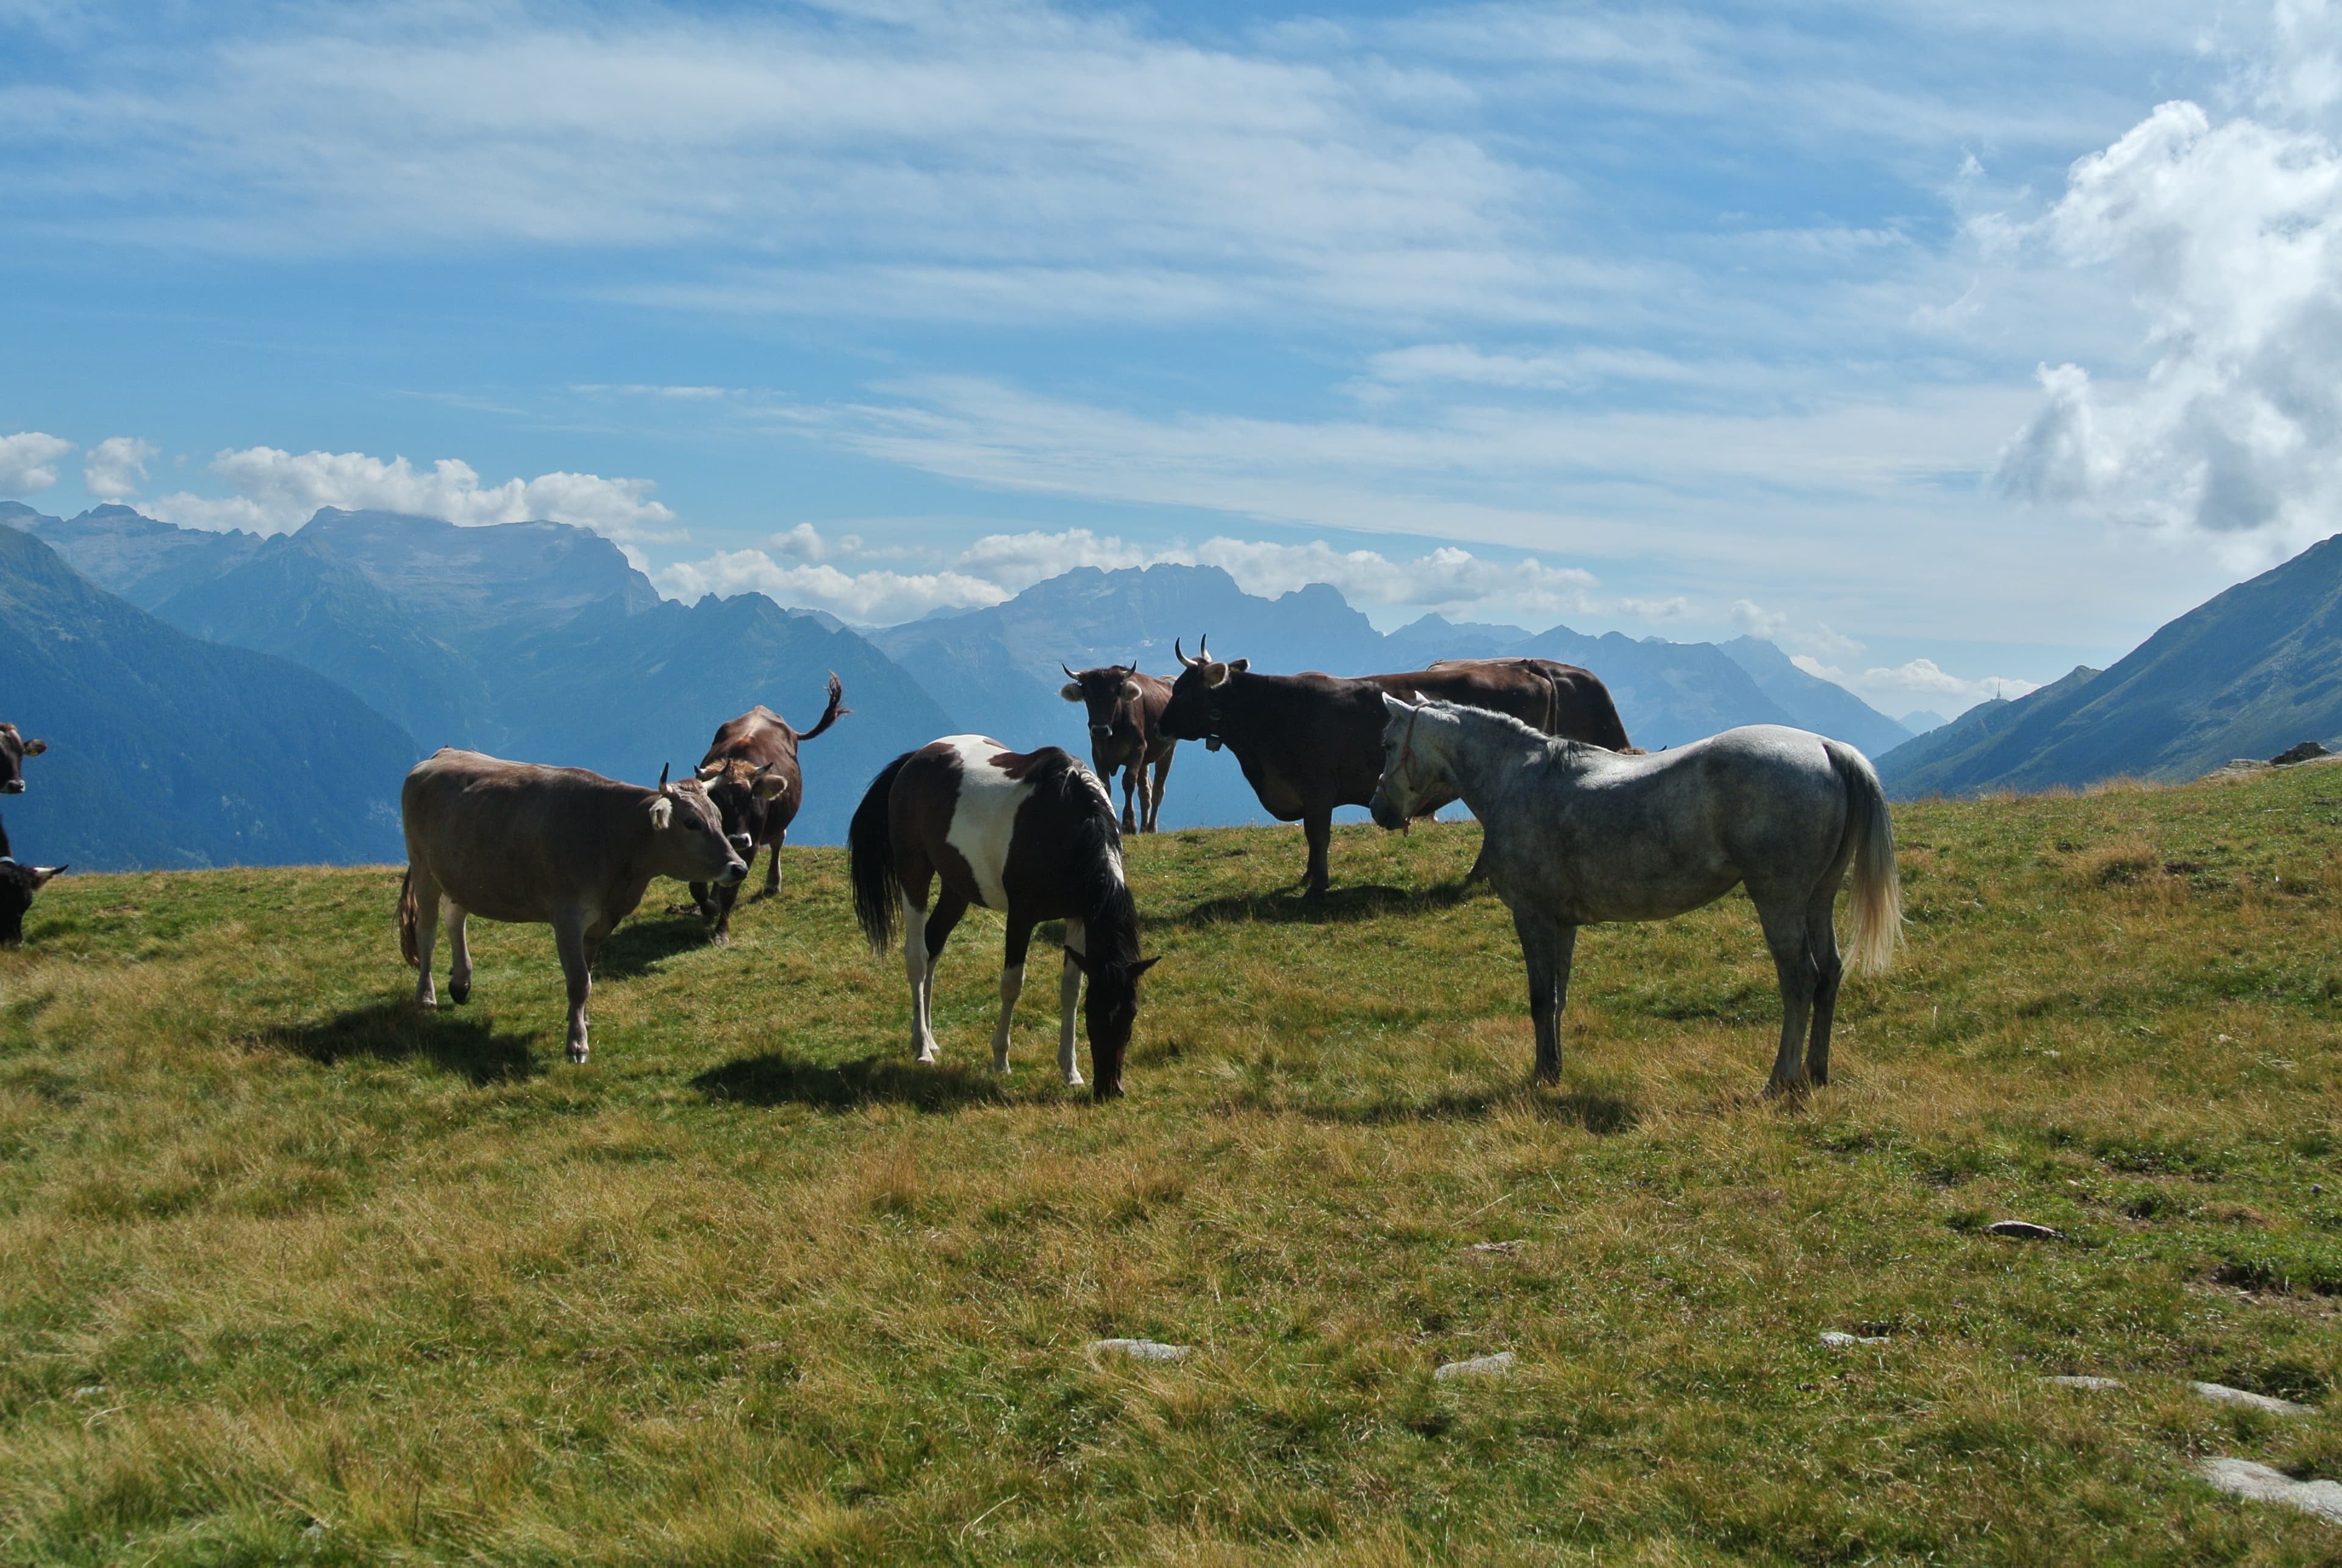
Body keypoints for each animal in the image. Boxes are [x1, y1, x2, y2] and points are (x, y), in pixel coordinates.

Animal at [848, 737, 1159, 1099]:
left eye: (1131, 1015)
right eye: (1094, 1015)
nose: (1110, 1089)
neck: (1067, 824)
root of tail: (916, 758)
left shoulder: (1078, 918)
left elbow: (1070, 989)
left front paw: (1070, 1071)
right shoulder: (1021, 918)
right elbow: (1012, 985)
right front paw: (1000, 1060)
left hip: (957, 889)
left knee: (934, 944)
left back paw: (930, 1037)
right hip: (914, 873)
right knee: (918, 957)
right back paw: (922, 1046)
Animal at [1368, 698, 1900, 1093]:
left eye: (1389, 744)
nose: (1378, 810)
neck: (1519, 779)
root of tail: (1826, 748)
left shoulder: (1532, 915)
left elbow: (1539, 998)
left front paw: (1539, 1075)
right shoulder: (1562, 922)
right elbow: (1558, 998)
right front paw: (1554, 1069)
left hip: (1779, 900)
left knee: (1800, 980)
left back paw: (1780, 1080)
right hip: (1818, 898)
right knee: (1829, 973)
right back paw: (1816, 1072)